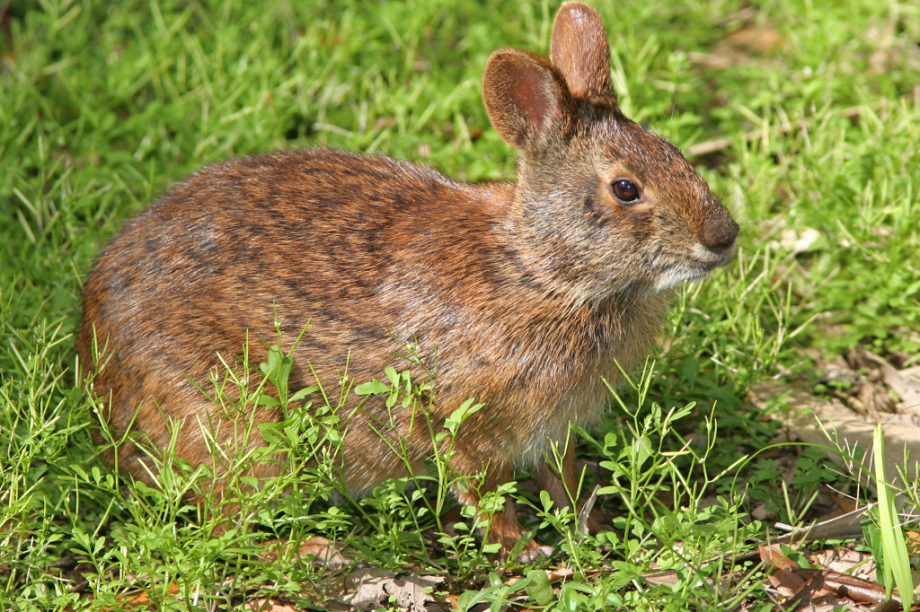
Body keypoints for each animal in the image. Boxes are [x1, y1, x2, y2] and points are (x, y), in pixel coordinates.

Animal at [79, 1, 740, 564]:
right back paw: (313, 550)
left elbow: (566, 480)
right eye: (626, 189)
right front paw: (521, 548)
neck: (541, 271)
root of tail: (99, 384)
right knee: (227, 523)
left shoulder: (554, 430)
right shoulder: (461, 417)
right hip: (241, 424)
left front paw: (595, 529)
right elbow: (484, 488)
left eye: (674, 151)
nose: (724, 236)